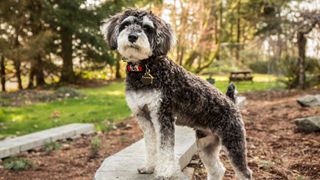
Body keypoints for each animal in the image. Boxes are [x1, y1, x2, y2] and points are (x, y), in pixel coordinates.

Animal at [101, 8, 251, 180]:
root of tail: (231, 101)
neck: (145, 68)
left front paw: (164, 172)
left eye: (147, 28)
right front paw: (149, 167)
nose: (132, 36)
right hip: (206, 143)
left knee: (244, 172)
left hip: (233, 141)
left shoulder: (162, 115)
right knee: (217, 169)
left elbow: (165, 148)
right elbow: (151, 145)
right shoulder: (144, 117)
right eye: (125, 24)